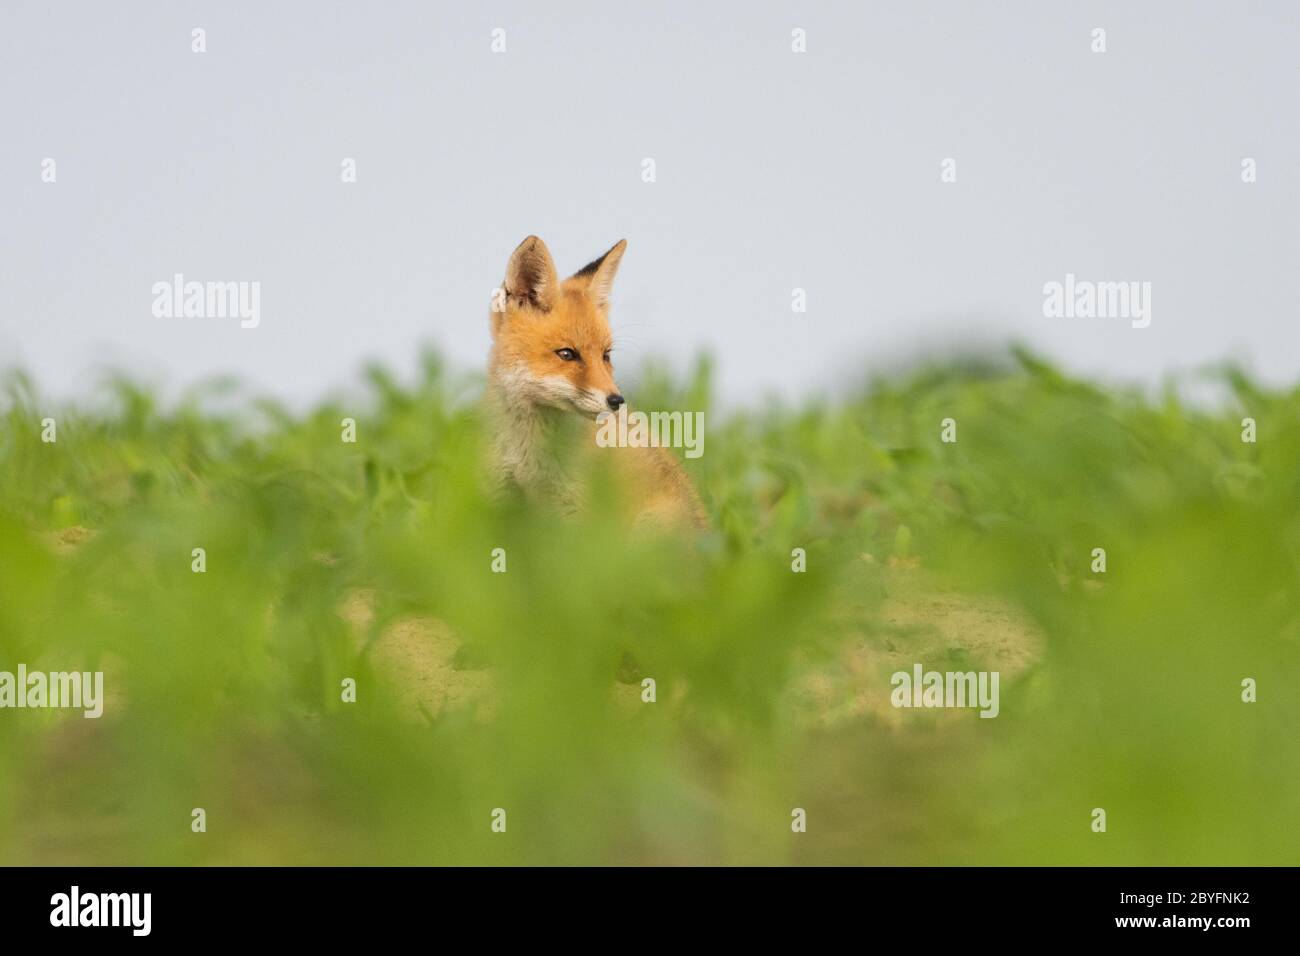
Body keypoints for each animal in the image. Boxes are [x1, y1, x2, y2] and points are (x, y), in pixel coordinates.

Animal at [486, 236, 707, 529]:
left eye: (606, 355)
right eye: (567, 354)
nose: (617, 401)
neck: (531, 456)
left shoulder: (578, 516)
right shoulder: (501, 498)